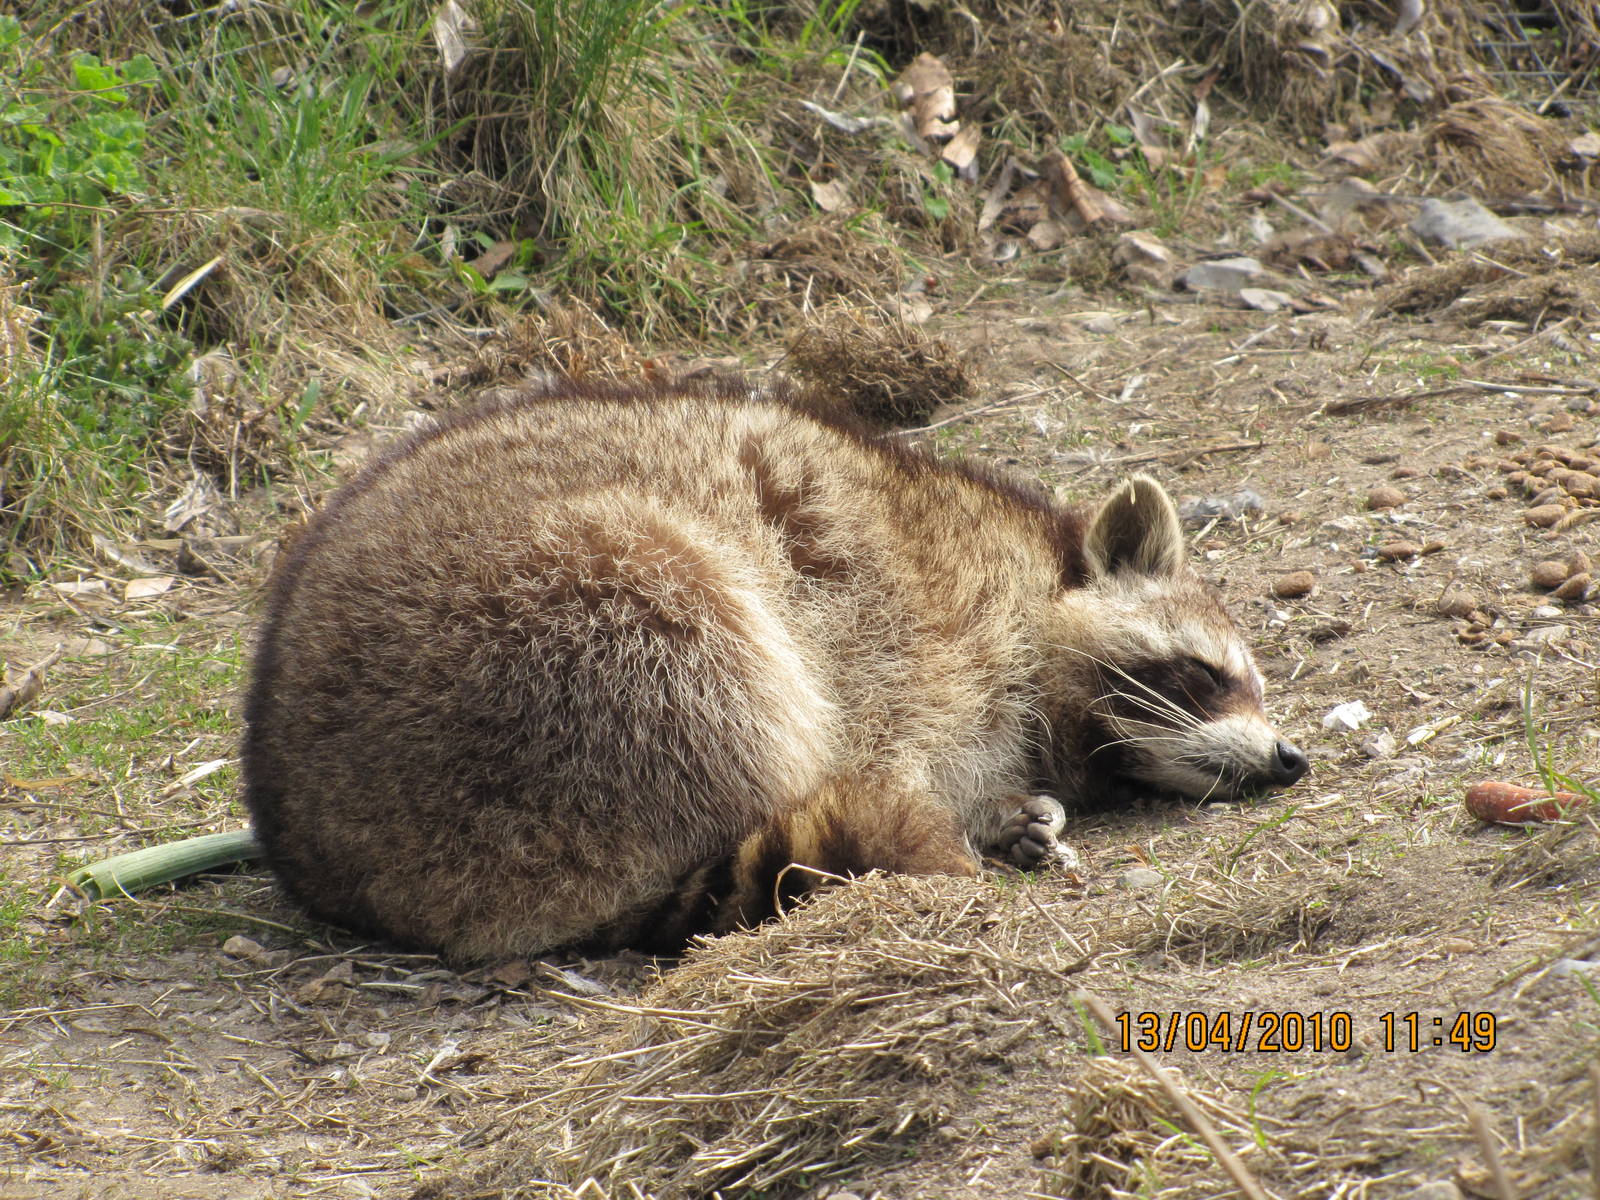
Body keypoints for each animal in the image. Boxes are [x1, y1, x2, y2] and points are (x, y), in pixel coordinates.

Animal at [243, 377, 1306, 961]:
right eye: (1208, 676)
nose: (1290, 758)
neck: (1026, 579)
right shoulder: (913, 633)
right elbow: (894, 735)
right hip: (558, 640)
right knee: (698, 636)